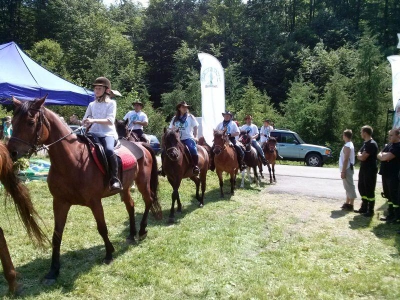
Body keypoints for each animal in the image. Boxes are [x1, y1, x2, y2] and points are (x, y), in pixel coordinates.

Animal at [7, 96, 162, 286]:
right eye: (13, 121)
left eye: (30, 122)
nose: (11, 152)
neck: (71, 161)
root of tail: (141, 145)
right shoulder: (60, 202)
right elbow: (56, 235)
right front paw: (53, 270)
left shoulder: (95, 202)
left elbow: (102, 228)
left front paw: (109, 253)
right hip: (125, 188)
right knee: (131, 205)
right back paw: (132, 234)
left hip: (142, 183)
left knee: (148, 201)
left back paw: (141, 231)